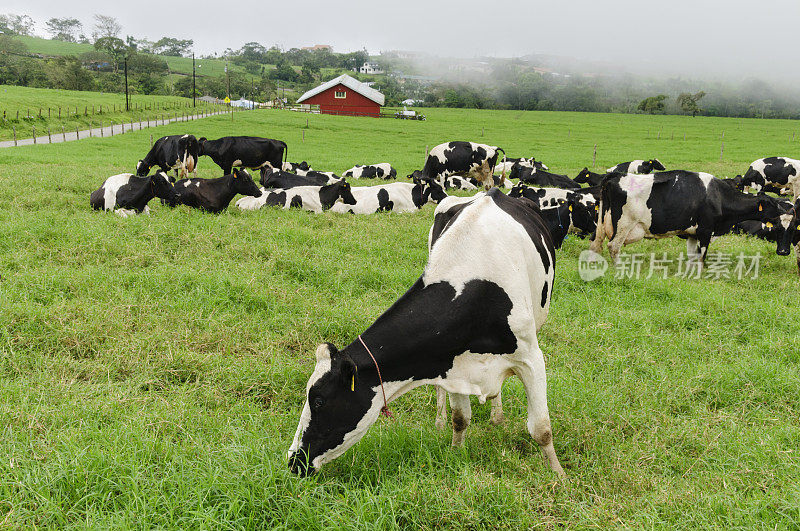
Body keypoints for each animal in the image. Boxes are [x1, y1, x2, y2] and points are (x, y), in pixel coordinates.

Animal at [288, 188, 564, 478]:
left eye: (319, 401)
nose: (293, 461)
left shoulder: (531, 358)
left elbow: (541, 429)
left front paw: (558, 475)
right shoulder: (451, 362)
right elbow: (460, 418)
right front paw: (456, 452)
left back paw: (496, 416)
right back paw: (441, 420)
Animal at [592, 170, 784, 264]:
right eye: (774, 204)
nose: (785, 211)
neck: (718, 196)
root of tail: (616, 176)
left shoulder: (692, 233)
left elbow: (692, 256)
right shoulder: (706, 230)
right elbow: (701, 256)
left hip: (602, 226)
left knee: (596, 246)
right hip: (624, 225)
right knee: (613, 247)